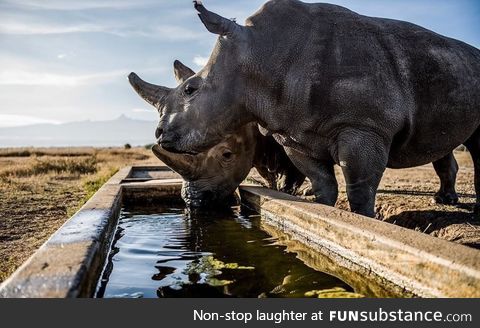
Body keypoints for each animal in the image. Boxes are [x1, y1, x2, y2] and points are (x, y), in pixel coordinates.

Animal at [129, 60, 306, 206]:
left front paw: (286, 191)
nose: (193, 201)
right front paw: (274, 188)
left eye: (227, 155)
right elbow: (267, 173)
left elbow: (294, 166)